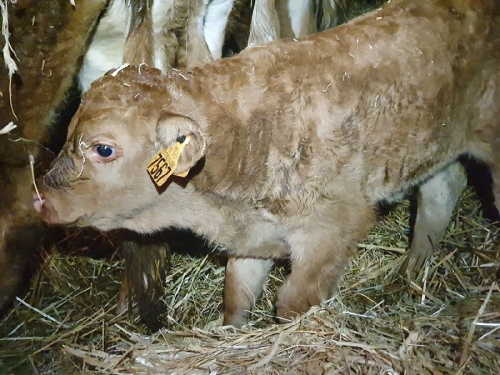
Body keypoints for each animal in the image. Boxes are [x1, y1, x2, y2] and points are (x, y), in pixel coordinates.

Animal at [33, 0, 498, 324]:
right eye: (69, 134)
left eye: (103, 149)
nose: (40, 199)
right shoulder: (253, 238)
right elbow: (236, 298)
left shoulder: (333, 230)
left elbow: (292, 303)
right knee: (441, 191)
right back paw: (411, 271)